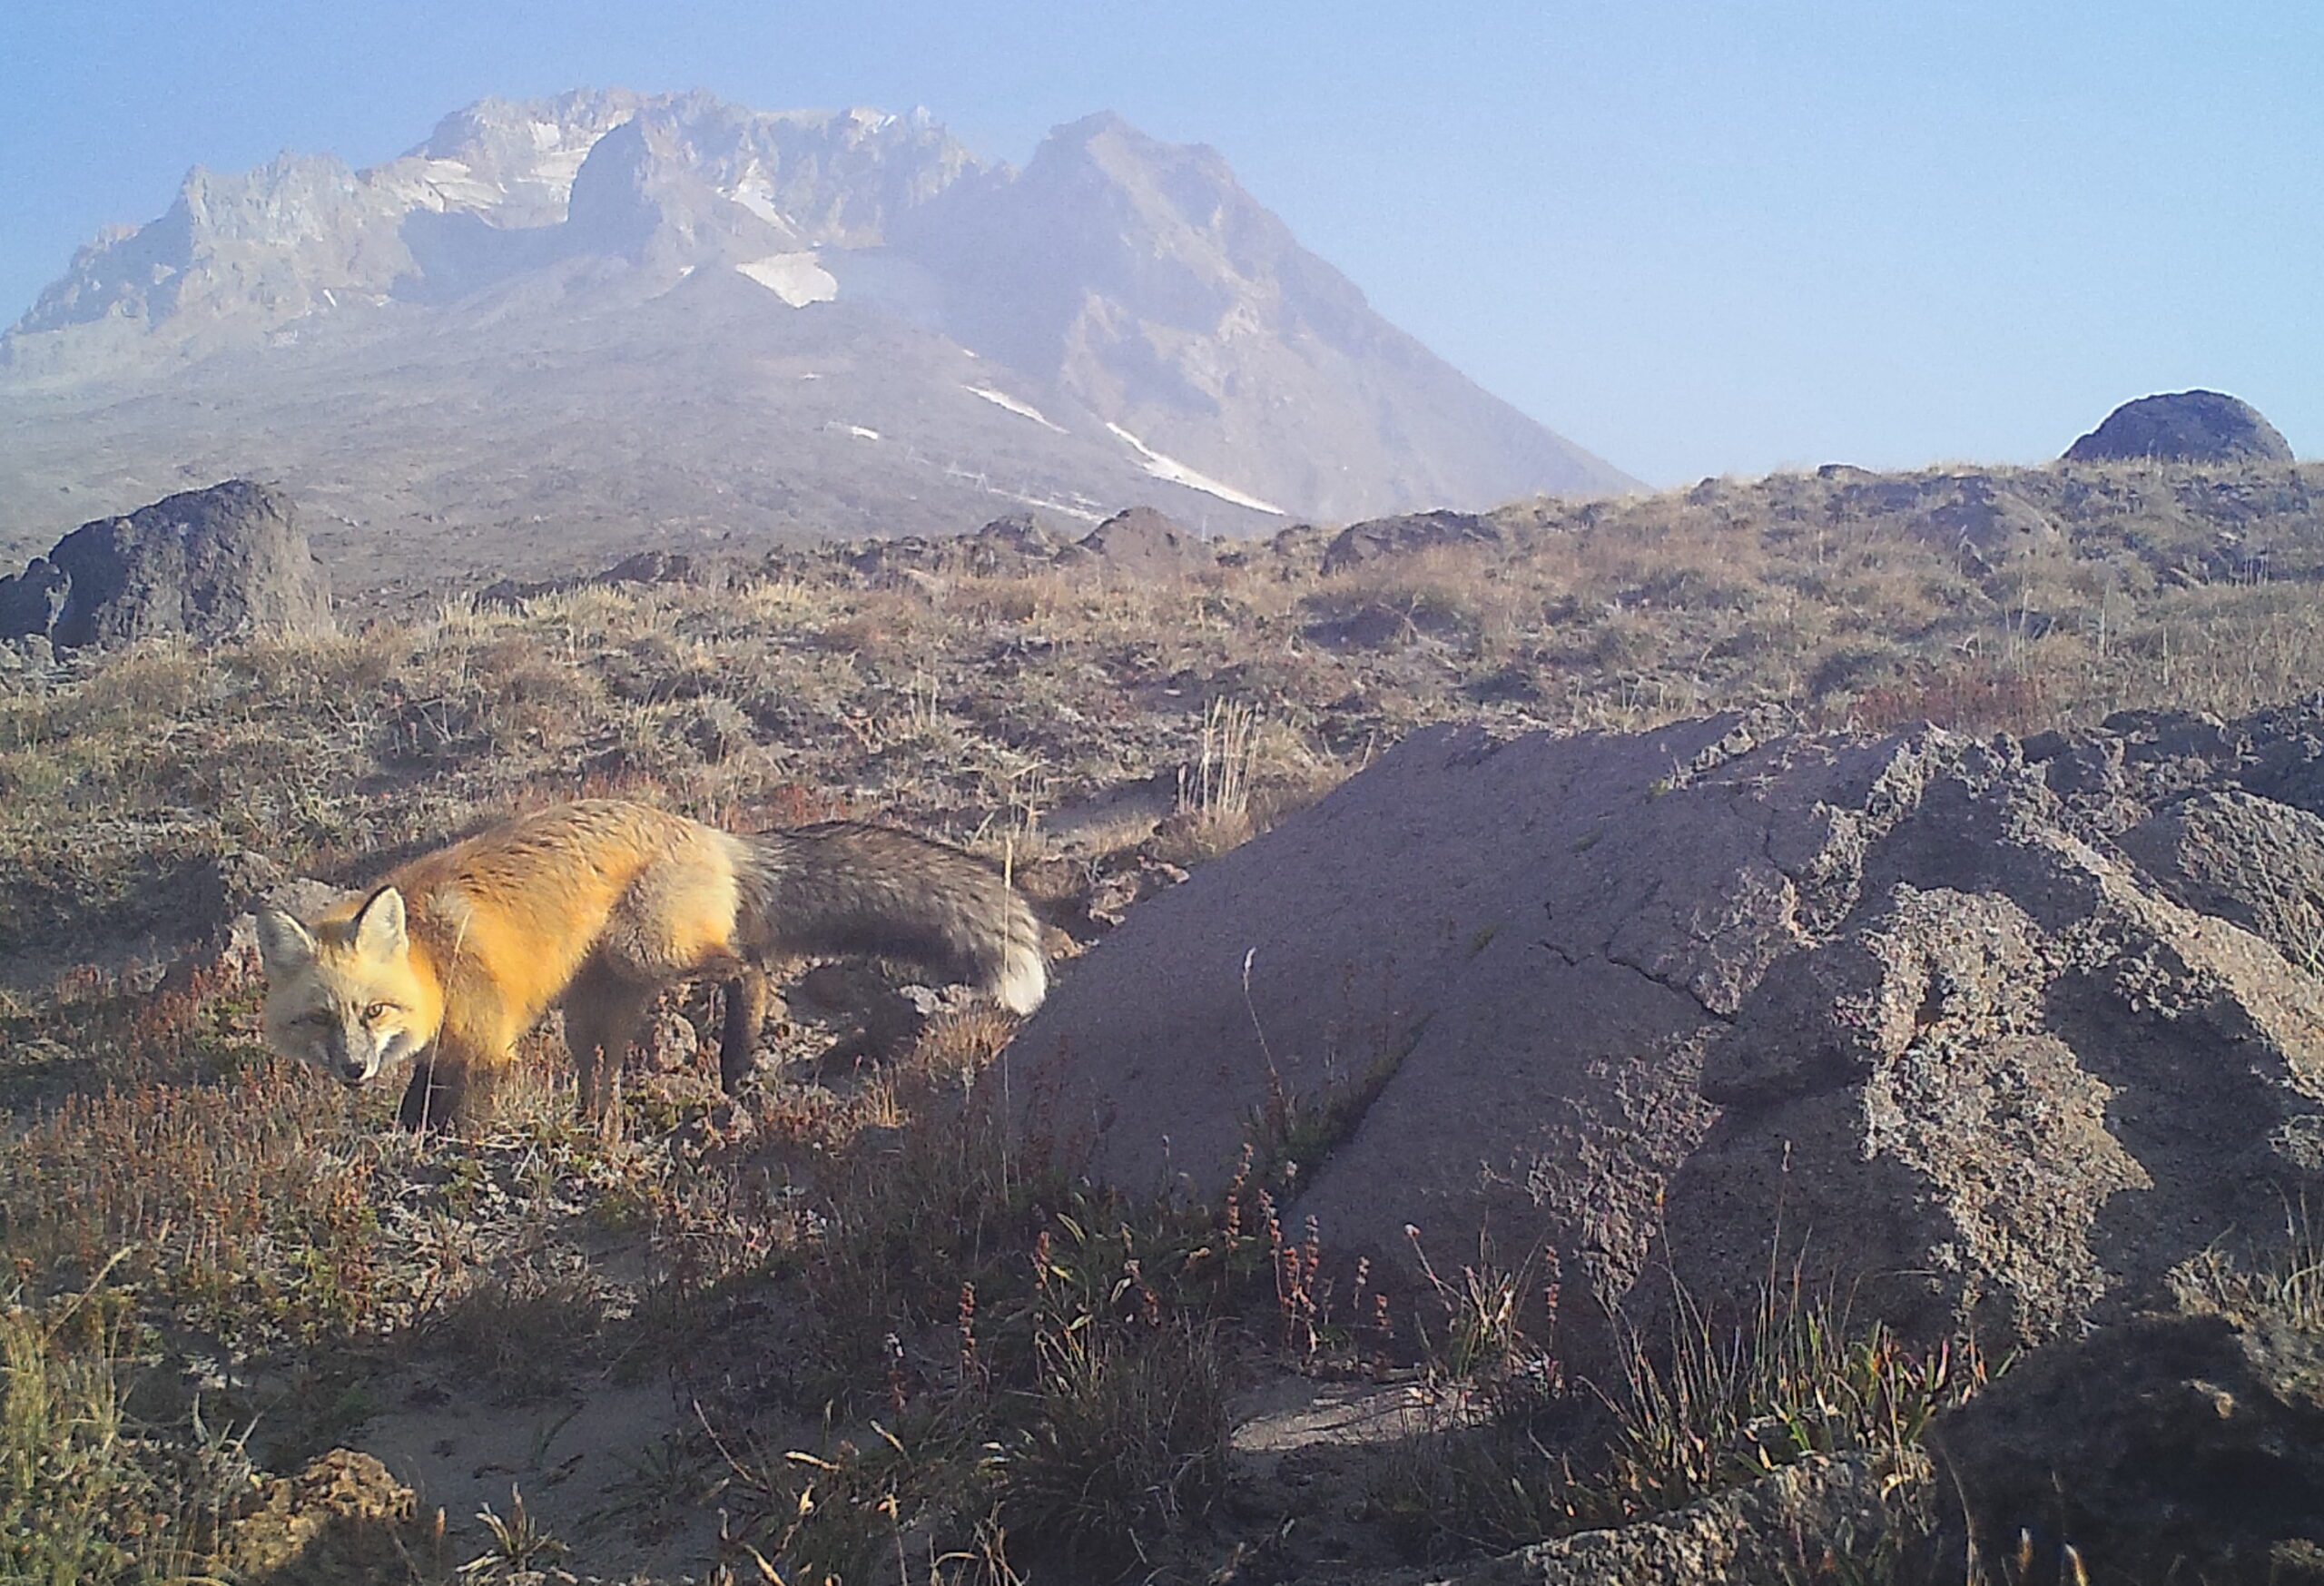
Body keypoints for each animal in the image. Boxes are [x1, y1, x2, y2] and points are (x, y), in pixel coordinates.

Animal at [251, 799, 1046, 1134]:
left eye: (373, 1009)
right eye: (318, 1017)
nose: (353, 1068)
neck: (433, 957)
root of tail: (714, 834)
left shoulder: (486, 1047)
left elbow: (451, 1121)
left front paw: (436, 1155)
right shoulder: (444, 1049)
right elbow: (416, 1106)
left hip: (648, 946)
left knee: (750, 966)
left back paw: (736, 1057)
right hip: (593, 1009)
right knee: (601, 1081)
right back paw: (595, 1130)